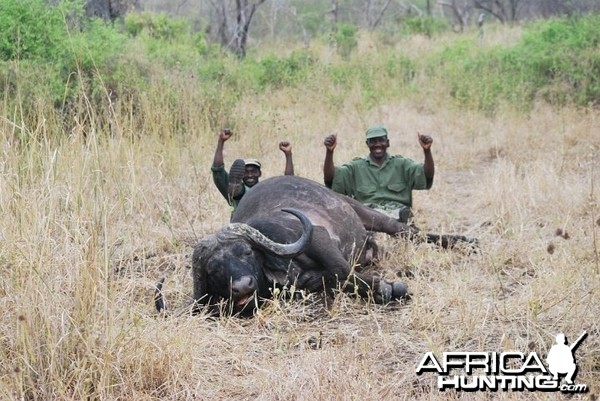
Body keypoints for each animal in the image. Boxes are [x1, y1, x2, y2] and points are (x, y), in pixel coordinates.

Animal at [157, 177, 476, 314]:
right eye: (213, 269)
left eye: (246, 252)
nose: (243, 286)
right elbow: (332, 278)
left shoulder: (318, 237)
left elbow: (341, 270)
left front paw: (390, 288)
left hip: (364, 212)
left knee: (406, 230)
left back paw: (466, 242)